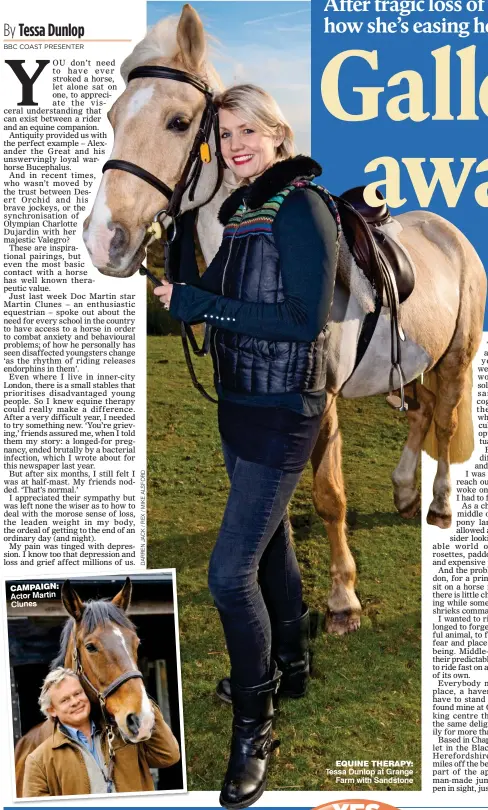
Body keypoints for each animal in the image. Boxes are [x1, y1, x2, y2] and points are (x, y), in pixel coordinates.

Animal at [82, 3, 486, 636]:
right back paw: (403, 491)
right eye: (113, 116)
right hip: (413, 360)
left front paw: (343, 600)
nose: (104, 240)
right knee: (420, 414)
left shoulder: (321, 402)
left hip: (456, 358)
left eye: (178, 121)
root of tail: (452, 233)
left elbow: (329, 496)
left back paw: (440, 504)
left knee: (443, 424)